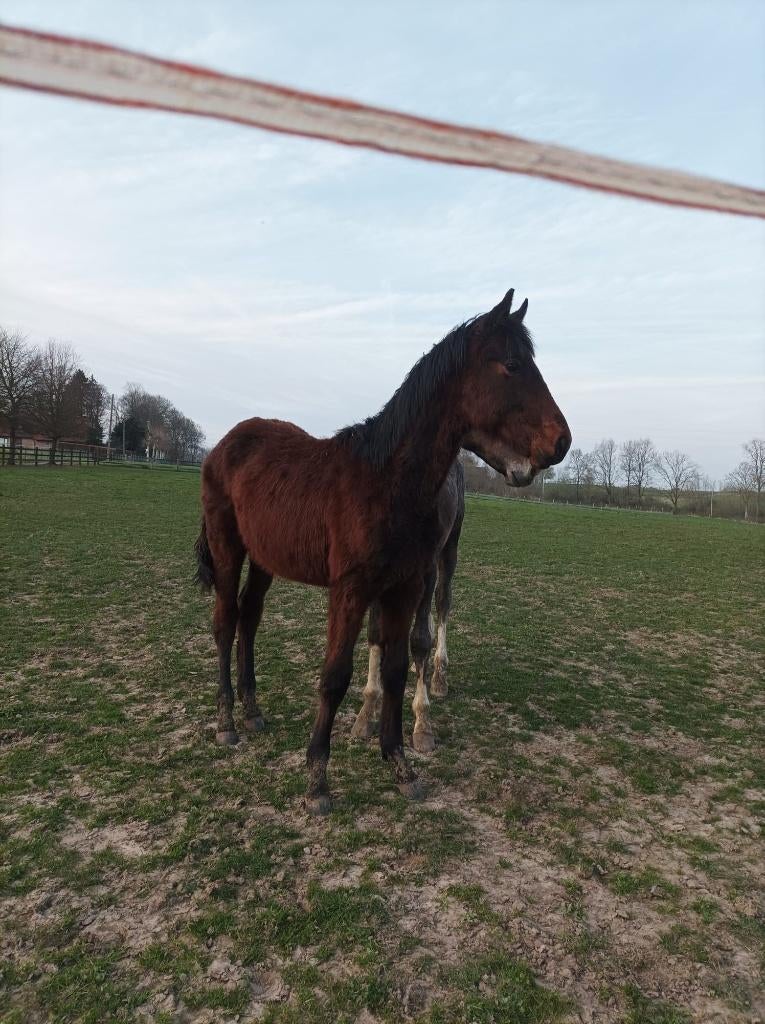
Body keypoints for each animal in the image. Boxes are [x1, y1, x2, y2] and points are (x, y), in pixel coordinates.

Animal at [350, 459, 464, 753]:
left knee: (443, 601)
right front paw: (366, 713)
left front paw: (423, 725)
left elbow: (421, 638)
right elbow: (375, 634)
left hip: (450, 547)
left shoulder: (425, 569)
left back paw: (438, 677)